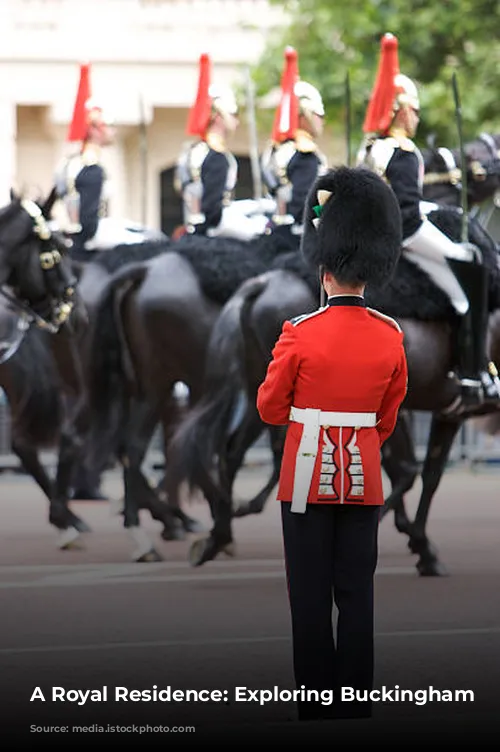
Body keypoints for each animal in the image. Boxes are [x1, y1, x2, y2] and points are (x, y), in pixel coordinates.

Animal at [162, 206, 498, 568]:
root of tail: (262, 284)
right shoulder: (439, 409)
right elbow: (420, 473)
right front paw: (418, 543)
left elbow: (415, 471)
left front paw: (413, 538)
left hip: (258, 389)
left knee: (232, 451)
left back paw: (219, 534)